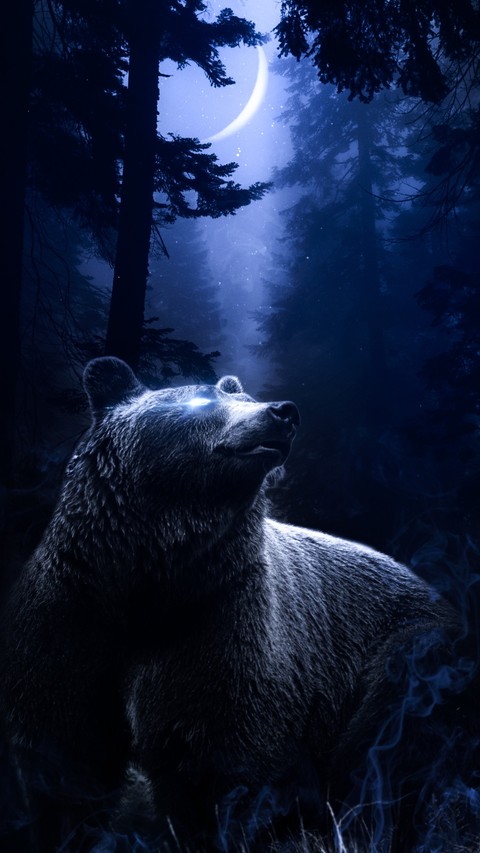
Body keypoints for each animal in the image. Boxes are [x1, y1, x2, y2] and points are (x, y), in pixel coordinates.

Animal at [1, 356, 467, 852]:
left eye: (246, 396)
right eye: (206, 398)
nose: (283, 411)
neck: (149, 580)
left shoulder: (222, 623)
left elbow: (217, 759)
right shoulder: (71, 615)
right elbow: (65, 756)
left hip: (414, 648)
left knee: (388, 743)